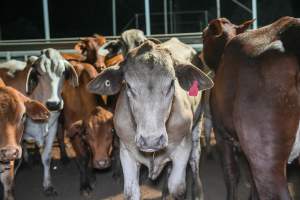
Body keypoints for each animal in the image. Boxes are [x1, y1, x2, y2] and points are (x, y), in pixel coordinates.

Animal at [87, 39, 213, 200]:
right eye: (128, 85)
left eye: (171, 83)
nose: (151, 141)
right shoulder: (126, 153)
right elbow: (131, 192)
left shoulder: (183, 149)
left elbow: (177, 188)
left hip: (198, 124)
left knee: (195, 159)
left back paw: (197, 191)